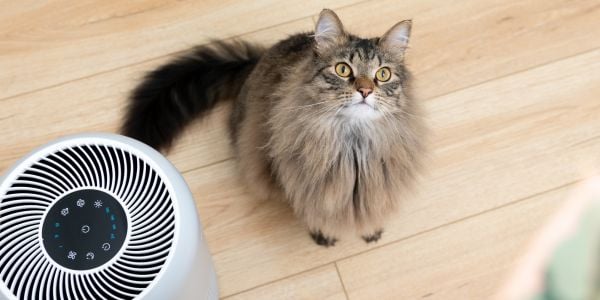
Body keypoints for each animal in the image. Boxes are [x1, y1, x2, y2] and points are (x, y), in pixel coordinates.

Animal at [120, 10, 426, 247]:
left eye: (383, 74)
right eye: (342, 69)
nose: (365, 90)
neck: (353, 145)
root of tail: (255, 62)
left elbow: (372, 208)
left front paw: (370, 229)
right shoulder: (301, 183)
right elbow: (315, 211)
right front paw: (324, 233)